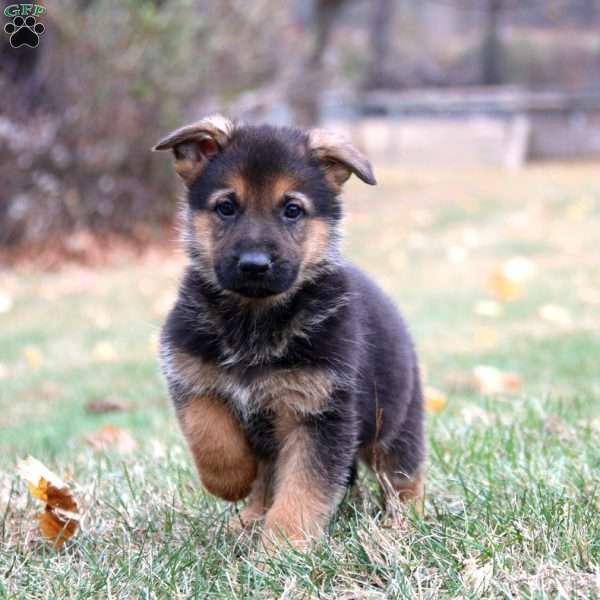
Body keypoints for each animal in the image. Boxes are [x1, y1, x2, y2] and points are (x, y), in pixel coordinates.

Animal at [155, 116, 426, 548]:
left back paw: (402, 524)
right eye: (226, 207)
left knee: (404, 478)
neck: (254, 320)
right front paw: (231, 482)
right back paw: (248, 518)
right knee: (267, 480)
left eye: (292, 210)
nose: (254, 265)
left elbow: (302, 489)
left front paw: (283, 547)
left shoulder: (317, 415)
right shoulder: (191, 377)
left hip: (397, 423)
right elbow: (210, 436)